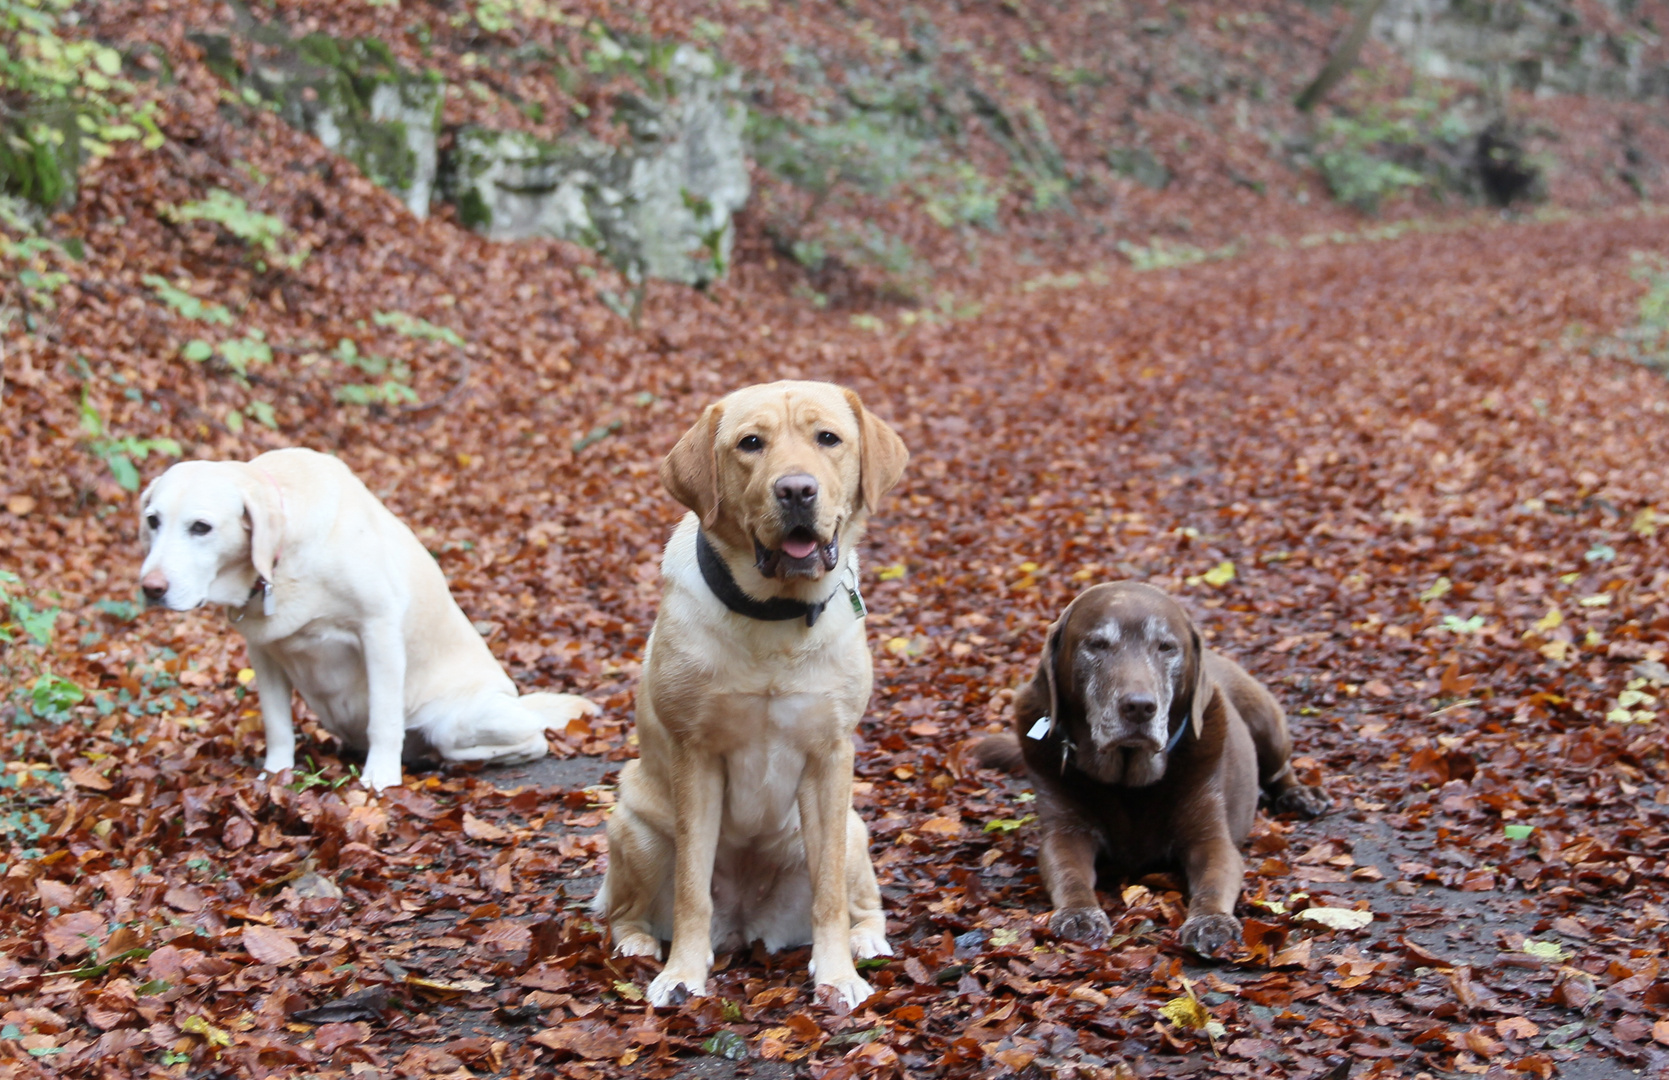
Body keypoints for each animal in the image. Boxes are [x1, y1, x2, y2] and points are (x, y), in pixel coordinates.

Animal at [138, 444, 594, 791]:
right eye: (153, 521)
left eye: (201, 527)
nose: (150, 588)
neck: (282, 561)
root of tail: (517, 699)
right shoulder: (263, 652)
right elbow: (277, 725)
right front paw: (275, 775)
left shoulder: (379, 631)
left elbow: (384, 720)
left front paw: (381, 777)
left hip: (462, 720)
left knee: (529, 740)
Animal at [974, 584, 1321, 954]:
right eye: (1097, 644)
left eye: (1166, 647)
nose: (1139, 707)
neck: (1128, 780)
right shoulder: (1065, 833)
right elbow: (1069, 874)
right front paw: (1080, 913)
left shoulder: (1210, 839)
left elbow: (1213, 881)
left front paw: (1211, 920)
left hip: (1264, 719)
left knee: (1280, 770)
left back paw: (1301, 795)